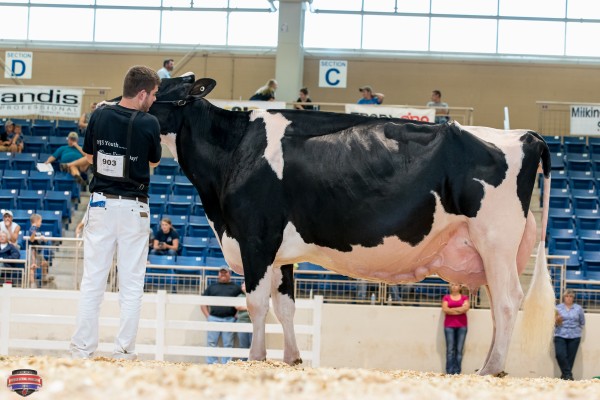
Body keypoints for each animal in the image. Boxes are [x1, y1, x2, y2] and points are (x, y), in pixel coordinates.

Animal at [149, 76, 552, 378]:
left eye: (157, 88)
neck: (233, 151)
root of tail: (526, 135)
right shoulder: (280, 253)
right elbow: (286, 306)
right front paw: (292, 358)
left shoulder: (256, 237)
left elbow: (257, 303)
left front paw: (256, 357)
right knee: (500, 304)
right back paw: (490, 364)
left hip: (496, 240)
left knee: (507, 301)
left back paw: (491, 368)